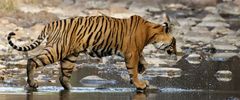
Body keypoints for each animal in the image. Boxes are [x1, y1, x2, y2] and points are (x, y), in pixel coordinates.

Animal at [7, 13, 176, 91]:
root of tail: (51, 23)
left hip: (69, 57)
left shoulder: (135, 51)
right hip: (56, 50)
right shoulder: (131, 53)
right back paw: (33, 83)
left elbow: (142, 61)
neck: (150, 33)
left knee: (63, 76)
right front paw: (140, 84)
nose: (175, 54)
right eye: (174, 42)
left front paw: (143, 69)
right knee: (32, 61)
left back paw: (71, 88)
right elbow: (132, 71)